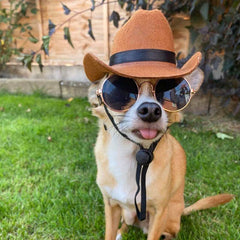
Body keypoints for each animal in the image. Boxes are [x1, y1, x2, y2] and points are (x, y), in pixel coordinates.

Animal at [83, 9, 233, 240]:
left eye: (171, 92)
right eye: (118, 90)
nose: (151, 110)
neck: (132, 155)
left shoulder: (158, 212)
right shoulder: (111, 206)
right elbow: (109, 232)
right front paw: (114, 233)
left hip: (170, 216)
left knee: (169, 232)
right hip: (126, 213)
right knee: (125, 224)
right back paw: (121, 232)